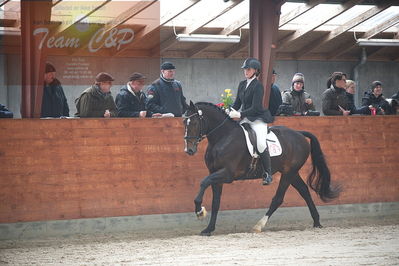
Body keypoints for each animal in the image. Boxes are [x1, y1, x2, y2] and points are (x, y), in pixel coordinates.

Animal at [184, 101, 340, 235]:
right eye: (184, 123)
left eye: (195, 122)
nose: (189, 150)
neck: (223, 137)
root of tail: (299, 133)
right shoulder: (215, 173)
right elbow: (215, 202)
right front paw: (208, 229)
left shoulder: (227, 174)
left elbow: (203, 182)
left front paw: (199, 211)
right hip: (292, 172)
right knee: (304, 191)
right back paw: (317, 222)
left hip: (288, 173)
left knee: (278, 198)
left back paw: (259, 225)